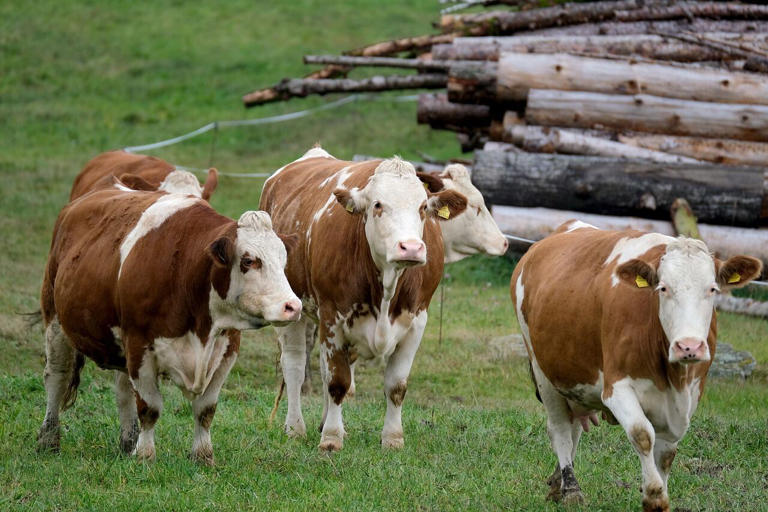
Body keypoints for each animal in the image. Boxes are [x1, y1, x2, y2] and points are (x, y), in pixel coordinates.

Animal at [39, 185, 302, 464]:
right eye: (249, 260)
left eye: (283, 261)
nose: (292, 306)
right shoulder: (139, 346)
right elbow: (150, 407)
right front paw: (145, 456)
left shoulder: (227, 349)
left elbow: (205, 409)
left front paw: (203, 455)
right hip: (55, 319)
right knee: (56, 376)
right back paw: (48, 439)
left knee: (122, 390)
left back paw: (128, 443)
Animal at [260, 146, 468, 450]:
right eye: (378, 205)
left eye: (422, 207)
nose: (411, 247)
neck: (387, 287)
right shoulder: (332, 317)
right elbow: (337, 381)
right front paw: (331, 438)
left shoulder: (417, 321)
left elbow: (396, 386)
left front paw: (392, 438)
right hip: (292, 310)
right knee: (295, 366)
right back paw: (295, 428)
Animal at [510, 221, 760, 512]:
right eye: (663, 288)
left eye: (712, 289)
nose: (689, 346)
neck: (672, 377)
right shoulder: (616, 388)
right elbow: (643, 434)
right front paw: (654, 494)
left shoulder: (689, 396)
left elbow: (667, 453)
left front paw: (660, 494)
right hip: (544, 372)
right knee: (560, 428)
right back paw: (571, 489)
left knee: (574, 428)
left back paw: (557, 483)